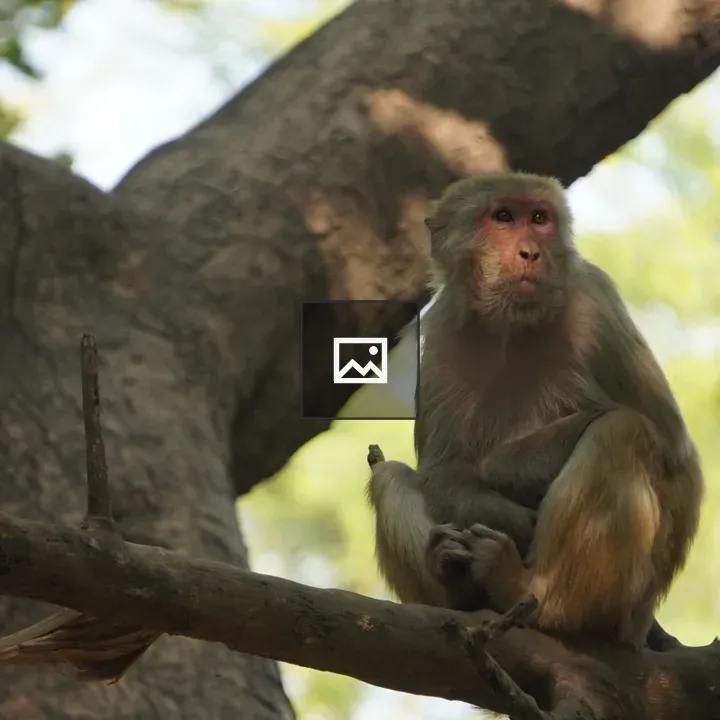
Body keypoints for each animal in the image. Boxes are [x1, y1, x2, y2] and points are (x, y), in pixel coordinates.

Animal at [367, 172, 703, 651]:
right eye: (504, 217)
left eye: (540, 219)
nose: (531, 251)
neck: (512, 324)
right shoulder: (442, 334)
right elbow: (445, 473)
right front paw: (507, 518)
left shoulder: (594, 300)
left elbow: (670, 444)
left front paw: (509, 477)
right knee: (390, 476)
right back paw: (456, 584)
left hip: (628, 604)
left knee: (622, 432)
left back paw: (535, 596)